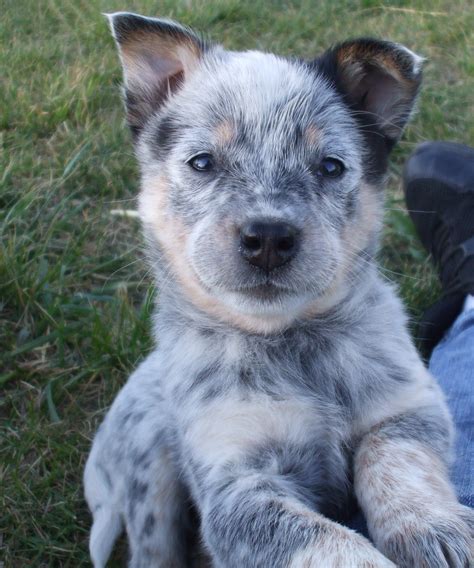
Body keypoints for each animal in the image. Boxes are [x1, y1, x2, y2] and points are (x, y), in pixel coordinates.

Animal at [84, 13, 474, 568]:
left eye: (330, 166)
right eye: (202, 162)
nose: (268, 237)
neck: (291, 344)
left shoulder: (409, 407)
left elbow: (398, 463)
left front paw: (437, 530)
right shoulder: (237, 484)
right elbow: (327, 542)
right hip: (148, 479)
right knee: (152, 550)